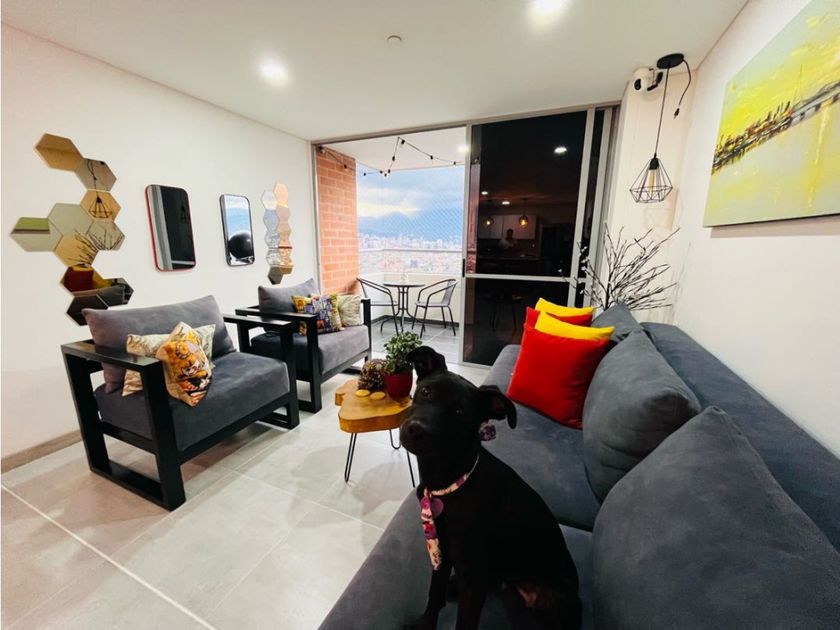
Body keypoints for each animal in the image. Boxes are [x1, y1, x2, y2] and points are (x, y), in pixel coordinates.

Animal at [400, 347, 580, 630]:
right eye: (426, 391)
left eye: (460, 411)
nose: (416, 430)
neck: (450, 483)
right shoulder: (441, 554)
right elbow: (434, 595)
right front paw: (425, 624)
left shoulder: (474, 583)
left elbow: (464, 623)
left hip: (558, 600)